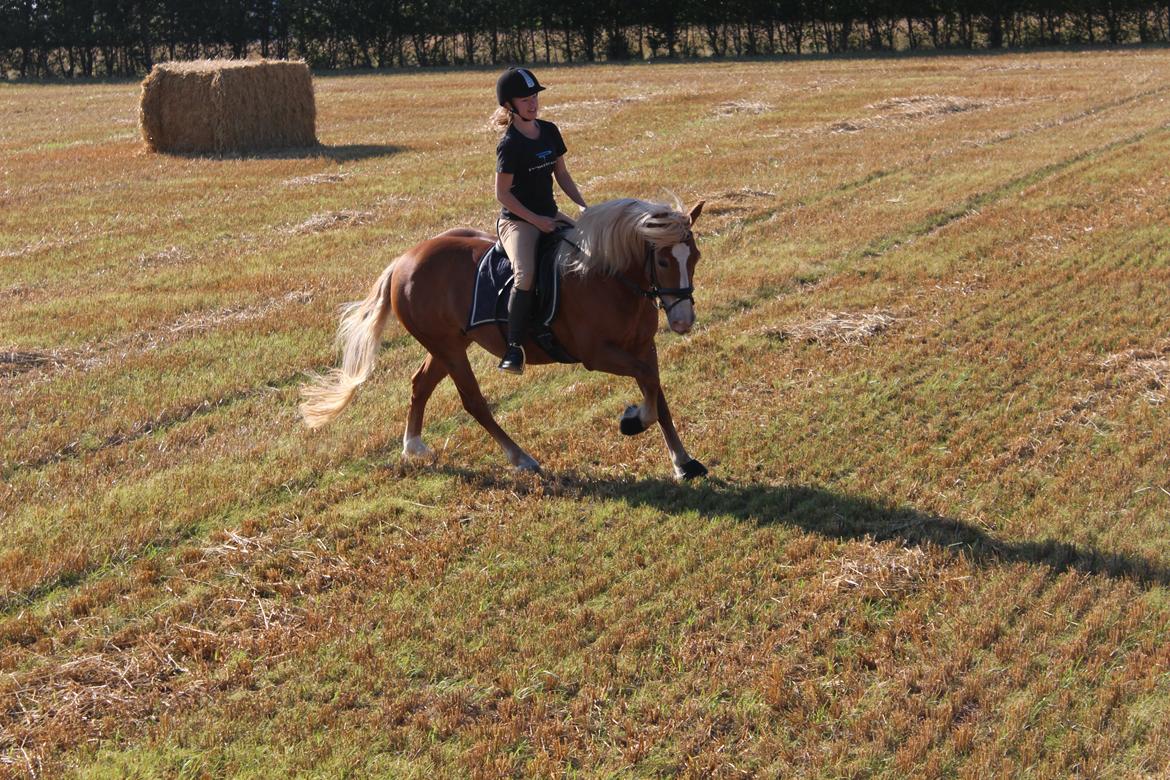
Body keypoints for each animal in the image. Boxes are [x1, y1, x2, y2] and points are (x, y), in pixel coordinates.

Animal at [299, 197, 709, 480]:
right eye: (664, 261)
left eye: (696, 257)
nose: (683, 321)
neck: (608, 277)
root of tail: (403, 261)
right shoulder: (598, 354)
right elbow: (649, 385)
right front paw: (633, 420)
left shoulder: (643, 347)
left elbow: (656, 389)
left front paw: (683, 462)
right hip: (449, 348)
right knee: (473, 402)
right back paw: (521, 458)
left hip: (449, 345)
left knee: (420, 385)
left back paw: (413, 446)